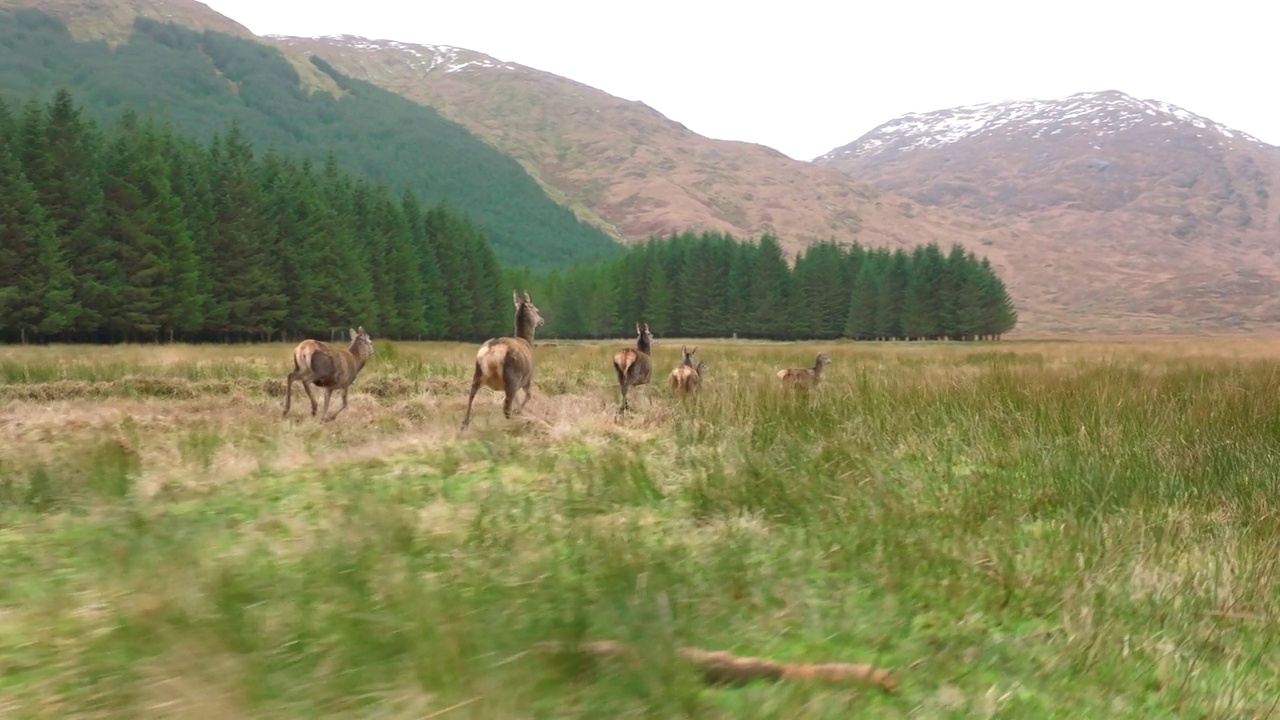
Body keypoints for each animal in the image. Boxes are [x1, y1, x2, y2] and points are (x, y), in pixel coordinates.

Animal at [460, 288, 545, 427]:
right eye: (536, 309)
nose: (542, 320)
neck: (527, 342)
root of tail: (492, 351)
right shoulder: (527, 378)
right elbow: (528, 396)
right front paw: (519, 411)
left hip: (478, 372)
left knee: (471, 395)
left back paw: (465, 424)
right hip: (512, 375)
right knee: (507, 404)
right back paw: (510, 423)